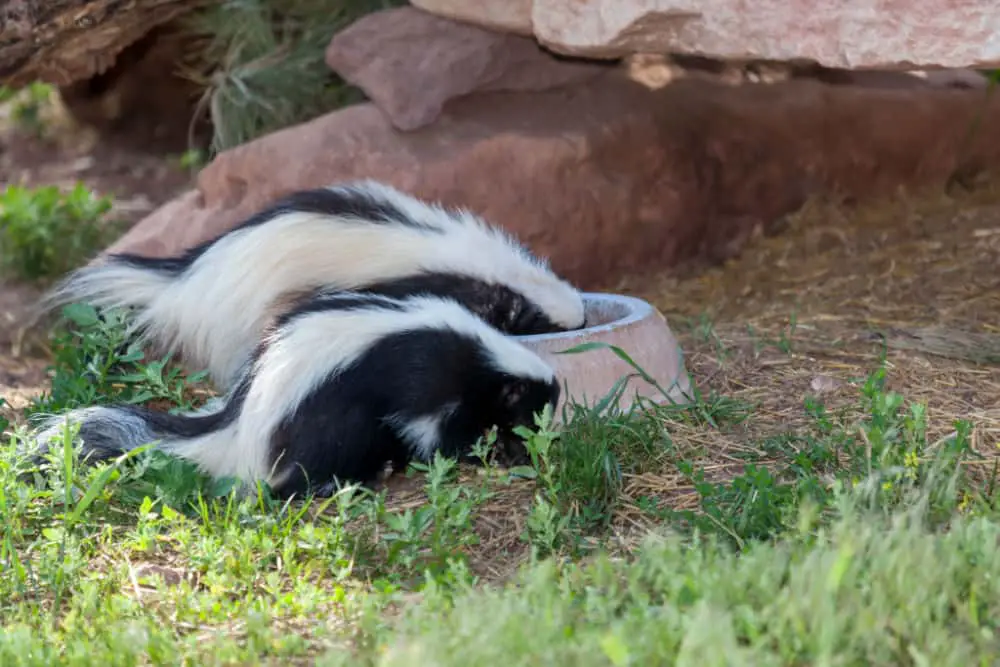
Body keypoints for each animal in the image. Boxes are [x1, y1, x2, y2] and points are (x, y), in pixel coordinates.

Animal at [29, 294, 564, 500]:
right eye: (532, 410)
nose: (541, 444)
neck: (481, 350)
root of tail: (239, 429)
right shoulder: (425, 378)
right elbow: (435, 431)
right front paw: (486, 454)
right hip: (327, 419)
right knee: (301, 471)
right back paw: (344, 483)